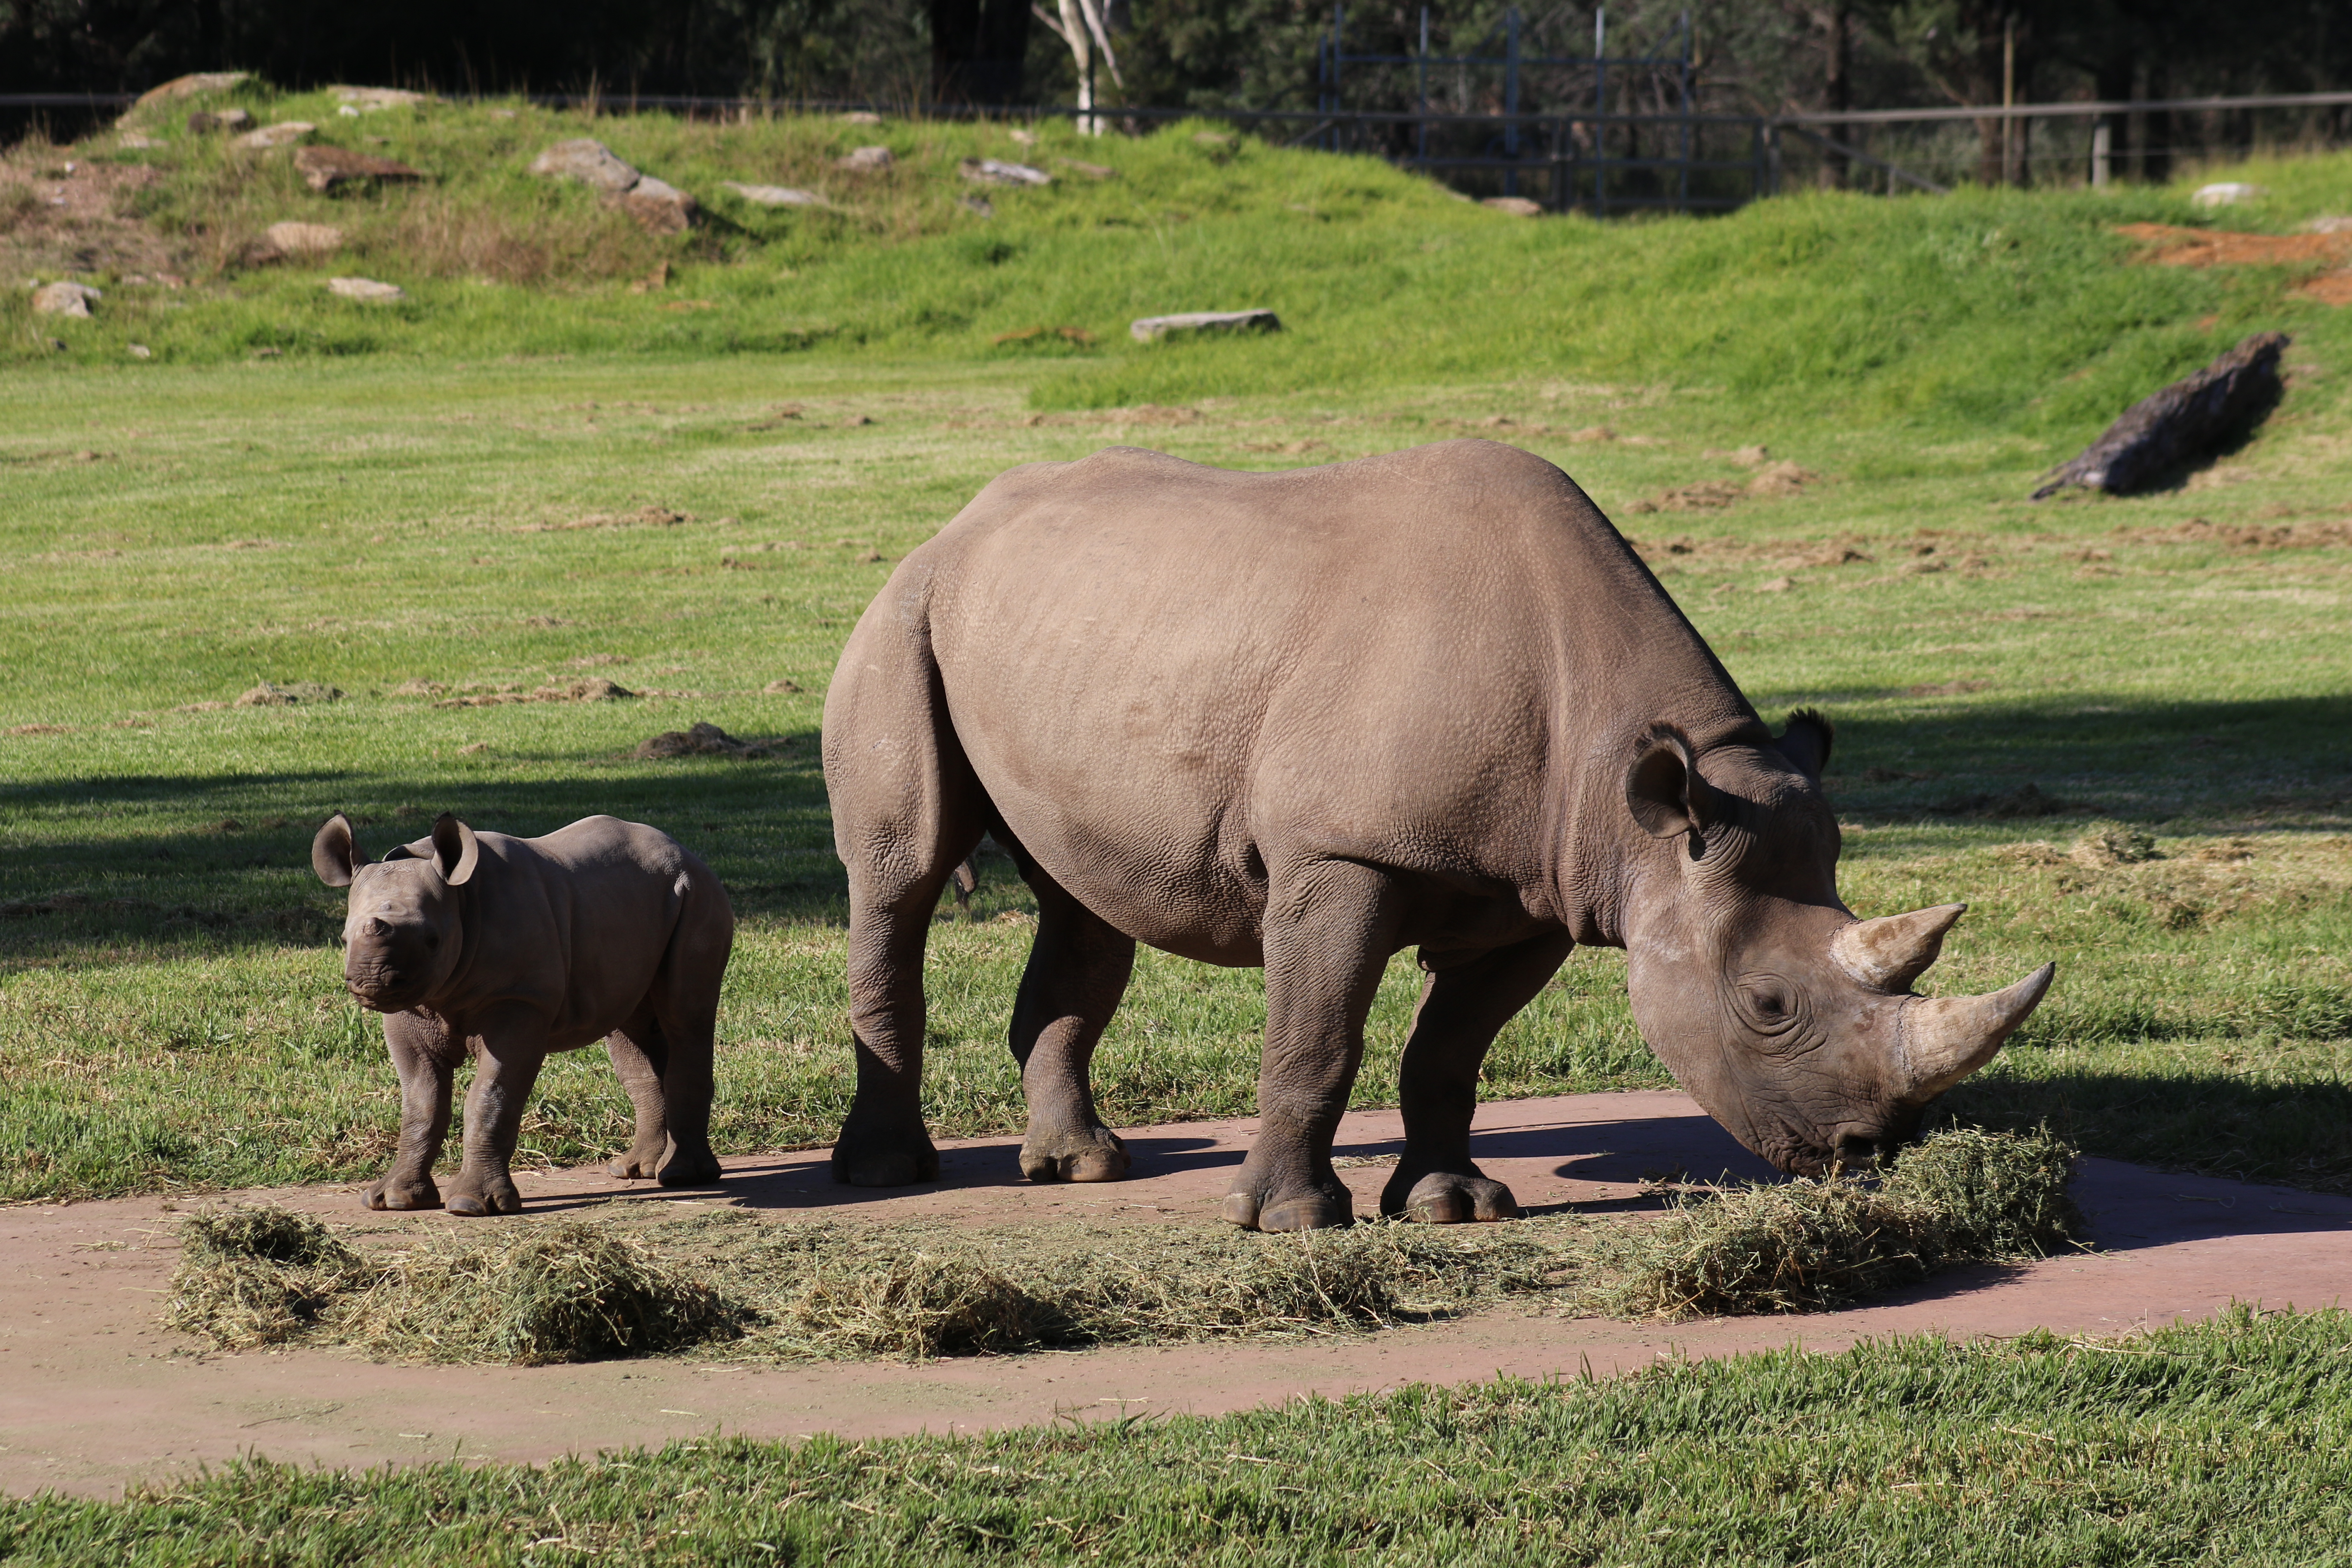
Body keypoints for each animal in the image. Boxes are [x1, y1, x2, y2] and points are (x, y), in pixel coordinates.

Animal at [311, 812, 734, 1215]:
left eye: (433, 941)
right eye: (344, 939)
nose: (371, 980)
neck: (460, 899)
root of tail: (687, 853)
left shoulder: (520, 1000)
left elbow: (491, 1096)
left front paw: (472, 1207)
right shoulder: (409, 1009)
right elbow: (422, 1102)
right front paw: (393, 1200)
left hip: (696, 893)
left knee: (686, 1021)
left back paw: (682, 1177)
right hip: (630, 909)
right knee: (631, 1030)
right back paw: (636, 1170)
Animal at [820, 441, 2053, 1230]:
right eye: (1765, 1007)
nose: (1871, 1153)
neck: (1636, 796)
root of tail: (957, 524)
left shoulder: (1544, 888)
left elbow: (1449, 1052)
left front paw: (1453, 1208)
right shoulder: (1341, 855)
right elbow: (1318, 1037)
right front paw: (1290, 1225)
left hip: (1065, 636)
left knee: (1087, 905)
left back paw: (1080, 1170)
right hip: (903, 613)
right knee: (900, 875)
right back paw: (885, 1173)